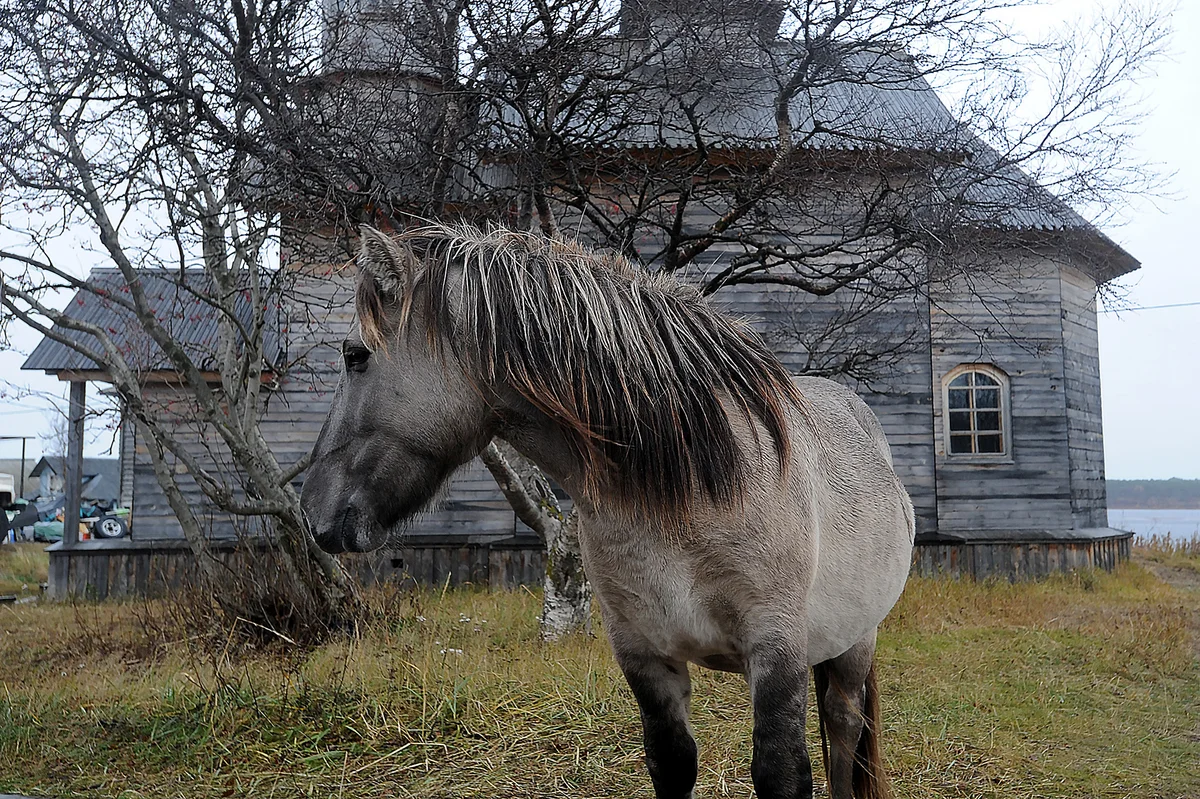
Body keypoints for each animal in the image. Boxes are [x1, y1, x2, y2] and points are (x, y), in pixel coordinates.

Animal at [300, 221, 907, 796]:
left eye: (355, 356)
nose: (313, 513)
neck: (689, 492)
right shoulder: (641, 654)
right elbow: (671, 763)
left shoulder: (775, 650)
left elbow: (782, 771)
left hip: (855, 644)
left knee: (842, 733)